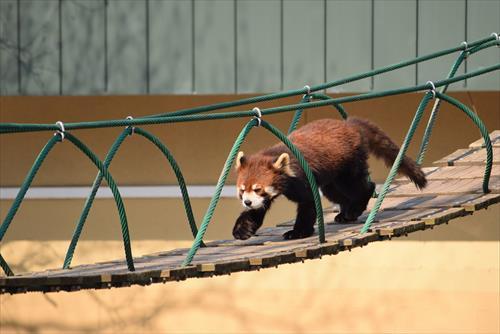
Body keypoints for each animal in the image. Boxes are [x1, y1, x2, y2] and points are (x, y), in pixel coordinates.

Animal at [233, 117, 426, 240]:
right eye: (242, 191)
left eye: (258, 189)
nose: (247, 202)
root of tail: (349, 124)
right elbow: (257, 210)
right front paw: (242, 229)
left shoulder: (303, 178)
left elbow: (308, 204)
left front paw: (298, 232)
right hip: (332, 178)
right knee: (336, 193)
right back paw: (344, 213)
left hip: (348, 164)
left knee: (359, 186)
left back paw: (355, 208)